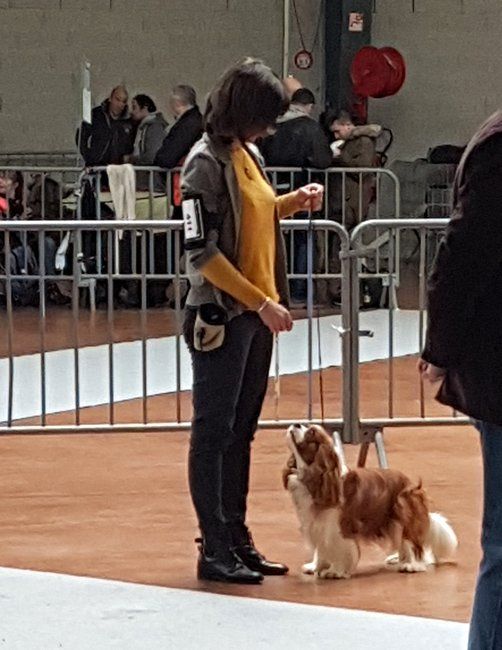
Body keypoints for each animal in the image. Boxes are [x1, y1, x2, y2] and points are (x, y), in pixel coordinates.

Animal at [283, 424, 458, 579]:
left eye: (311, 432)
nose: (296, 424)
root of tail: (410, 483)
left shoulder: (337, 526)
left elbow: (339, 548)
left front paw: (335, 571)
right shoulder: (317, 524)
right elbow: (322, 547)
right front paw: (316, 566)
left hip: (404, 513)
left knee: (412, 542)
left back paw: (412, 565)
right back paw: (399, 558)